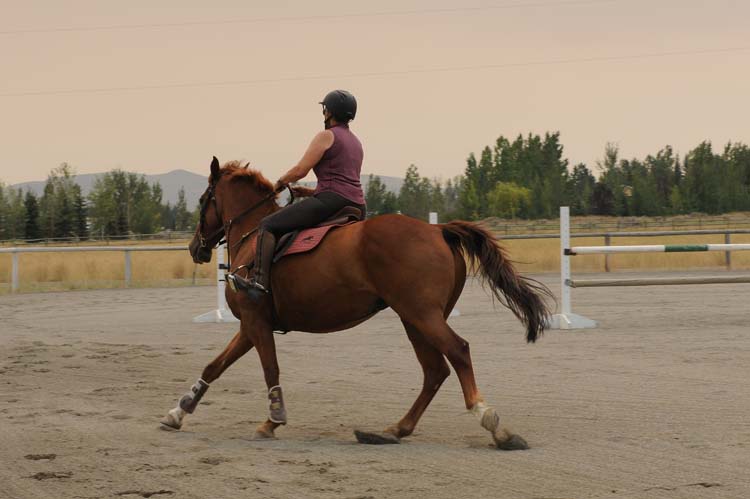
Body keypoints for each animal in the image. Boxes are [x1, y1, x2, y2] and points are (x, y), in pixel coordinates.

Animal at [163, 158, 552, 452]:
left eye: (204, 199)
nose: (195, 247)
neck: (253, 235)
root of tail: (438, 230)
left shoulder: (256, 321)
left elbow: (270, 368)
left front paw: (273, 420)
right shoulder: (249, 325)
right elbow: (214, 366)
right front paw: (178, 412)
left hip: (421, 314)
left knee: (457, 352)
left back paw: (490, 422)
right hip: (413, 318)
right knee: (434, 371)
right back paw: (392, 430)